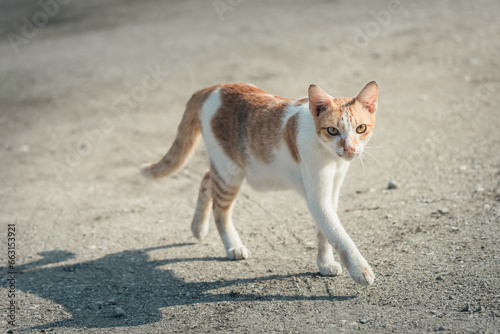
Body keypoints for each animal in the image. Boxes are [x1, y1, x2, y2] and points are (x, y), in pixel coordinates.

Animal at [140, 82, 376, 286]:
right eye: (332, 131)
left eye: (361, 129)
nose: (349, 149)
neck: (331, 158)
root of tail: (214, 87)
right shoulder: (318, 198)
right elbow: (340, 236)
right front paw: (360, 269)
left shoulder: (331, 192)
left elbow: (325, 233)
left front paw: (325, 263)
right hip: (229, 172)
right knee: (220, 210)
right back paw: (233, 246)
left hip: (225, 169)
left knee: (207, 178)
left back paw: (198, 227)